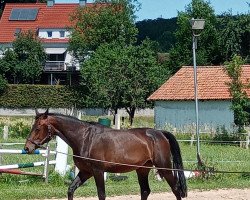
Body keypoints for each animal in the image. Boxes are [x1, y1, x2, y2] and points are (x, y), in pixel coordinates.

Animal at [24, 109, 187, 200]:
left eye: (37, 128)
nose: (27, 148)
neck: (85, 138)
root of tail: (160, 133)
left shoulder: (97, 171)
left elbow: (101, 194)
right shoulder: (85, 172)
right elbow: (71, 189)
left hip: (164, 167)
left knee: (176, 189)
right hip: (142, 170)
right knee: (145, 191)